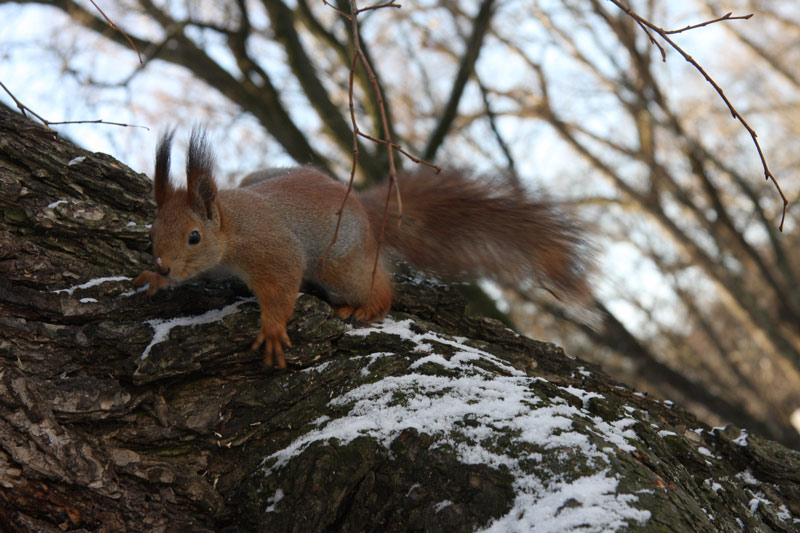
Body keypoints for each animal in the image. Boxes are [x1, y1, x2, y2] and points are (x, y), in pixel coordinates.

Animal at [135, 128, 594, 368]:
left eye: (194, 236)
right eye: (151, 234)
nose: (166, 266)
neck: (231, 229)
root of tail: (360, 206)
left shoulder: (270, 249)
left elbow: (282, 285)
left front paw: (272, 330)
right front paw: (153, 280)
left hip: (339, 267)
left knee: (378, 288)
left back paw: (364, 308)